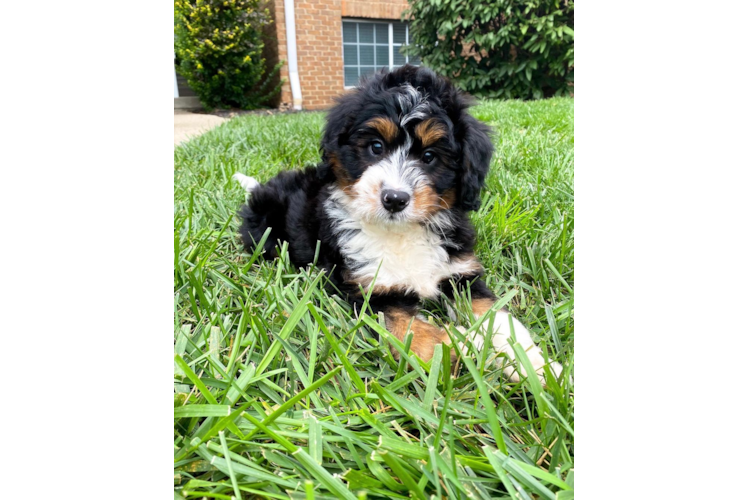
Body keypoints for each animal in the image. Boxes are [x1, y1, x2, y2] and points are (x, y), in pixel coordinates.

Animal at [234, 64, 560, 384]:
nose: (394, 199)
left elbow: (498, 317)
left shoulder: (461, 274)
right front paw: (463, 346)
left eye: (429, 156)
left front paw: (533, 364)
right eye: (376, 147)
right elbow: (413, 332)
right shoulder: (369, 291)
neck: (401, 232)